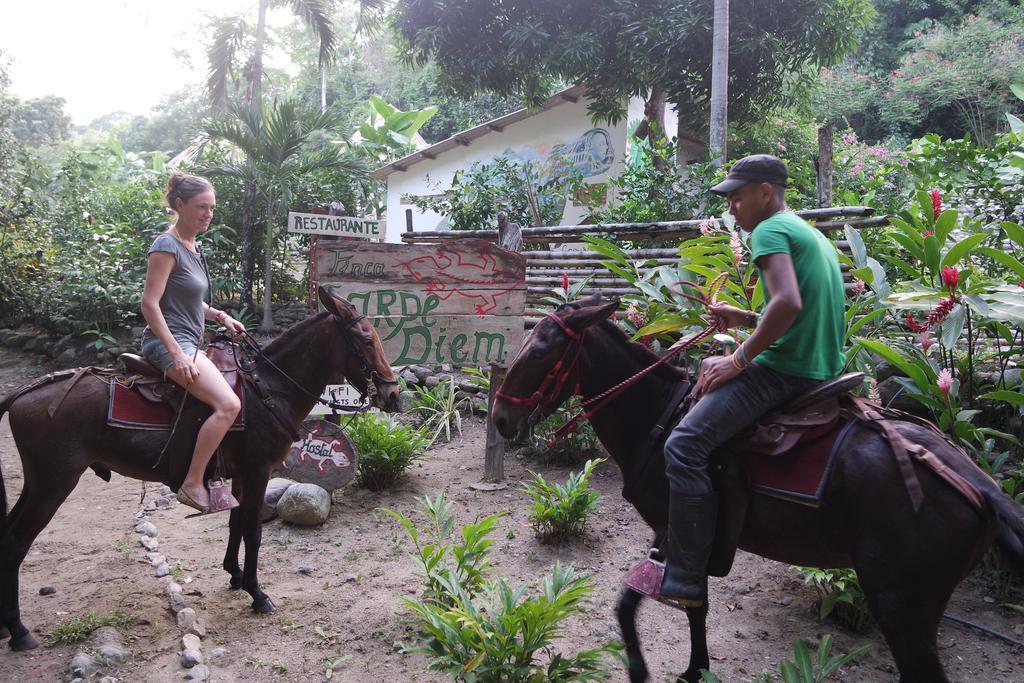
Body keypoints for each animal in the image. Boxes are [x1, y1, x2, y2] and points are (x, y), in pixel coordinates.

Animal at [0, 286, 399, 651]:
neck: (269, 390)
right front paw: (257, 594)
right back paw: (18, 631)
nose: (393, 393)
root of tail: (22, 393)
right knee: (17, 541)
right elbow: (253, 531)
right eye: (367, 340)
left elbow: (235, 523)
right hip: (54, 482)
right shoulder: (257, 471)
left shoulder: (239, 475)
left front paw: (235, 575)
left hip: (38, 481)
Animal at [489, 296, 1024, 683]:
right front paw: (695, 669)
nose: (501, 419)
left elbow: (640, 606)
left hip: (901, 607)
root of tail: (980, 486)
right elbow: (686, 610)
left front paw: (645, 671)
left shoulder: (677, 526)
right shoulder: (684, 538)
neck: (659, 416)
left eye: (541, 350)